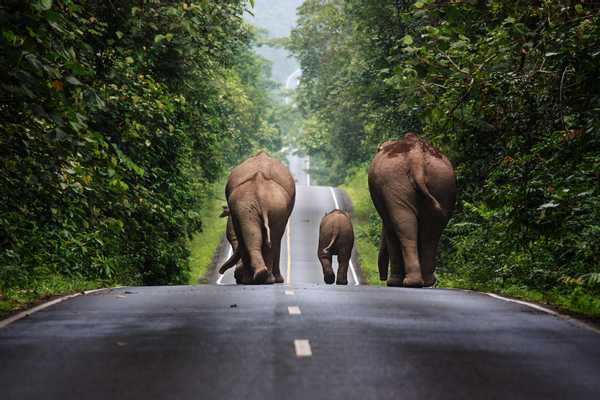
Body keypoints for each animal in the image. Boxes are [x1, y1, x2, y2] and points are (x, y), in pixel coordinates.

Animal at [219, 150, 296, 284]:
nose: (221, 271)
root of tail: (259, 191)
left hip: (258, 206)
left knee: (267, 237)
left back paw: (258, 278)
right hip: (255, 207)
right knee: (270, 238)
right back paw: (261, 277)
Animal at [368, 132, 458, 288]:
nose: (382, 278)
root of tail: (416, 156)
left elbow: (390, 229)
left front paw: (393, 283)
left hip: (396, 182)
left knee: (405, 229)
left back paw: (410, 282)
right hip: (440, 183)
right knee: (430, 233)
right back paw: (426, 282)